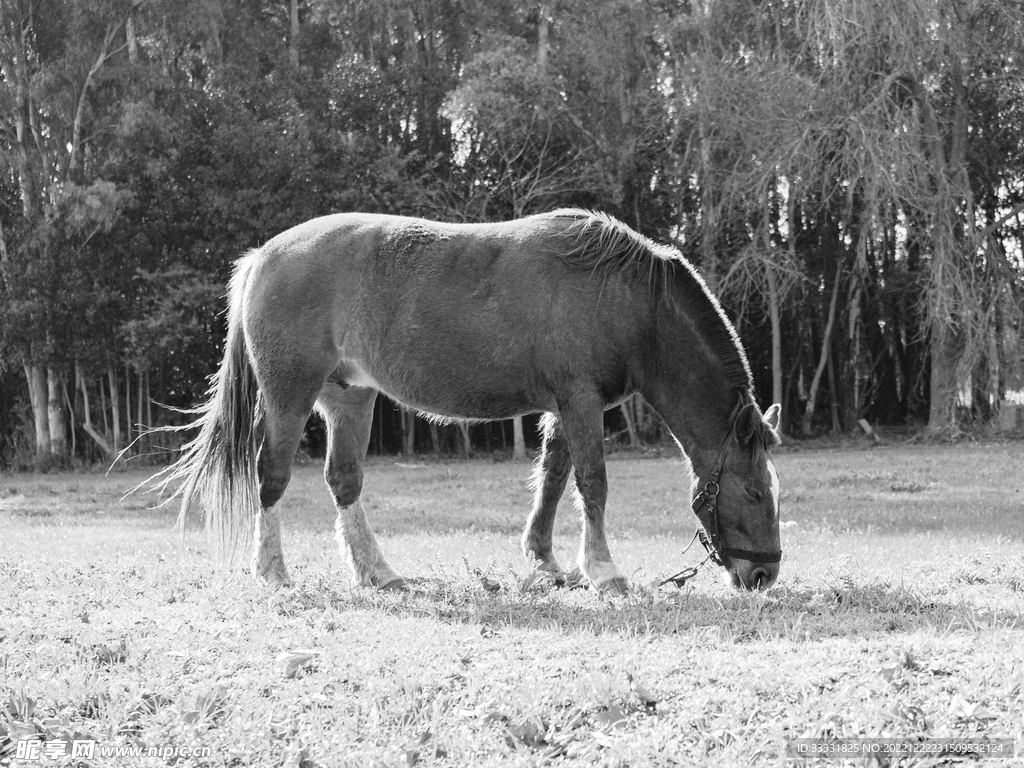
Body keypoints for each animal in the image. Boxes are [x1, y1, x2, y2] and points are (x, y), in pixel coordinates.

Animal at [153, 209, 783, 595]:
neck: (629, 300)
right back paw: (273, 570)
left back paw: (377, 572)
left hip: (349, 396)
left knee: (344, 480)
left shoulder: (564, 405)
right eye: (755, 491)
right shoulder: (581, 401)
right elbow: (592, 484)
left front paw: (546, 562)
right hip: (290, 395)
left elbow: (553, 478)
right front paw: (603, 572)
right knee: (273, 475)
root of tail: (262, 256)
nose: (763, 575)